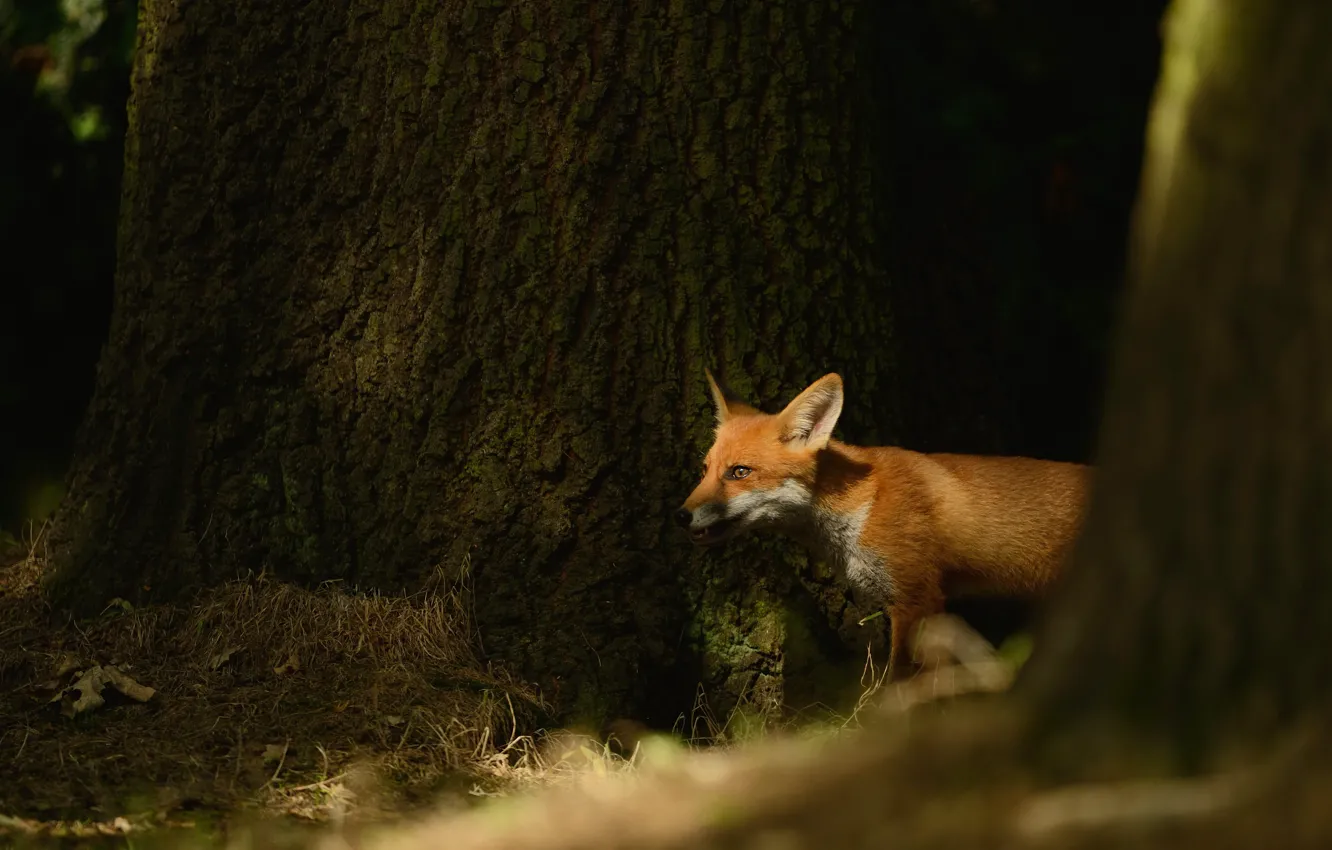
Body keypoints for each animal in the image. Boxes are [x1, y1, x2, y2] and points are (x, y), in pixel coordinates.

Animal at [676, 371, 1091, 680]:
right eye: (705, 469)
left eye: (739, 472)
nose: (680, 515)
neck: (863, 510)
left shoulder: (918, 598)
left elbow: (901, 683)